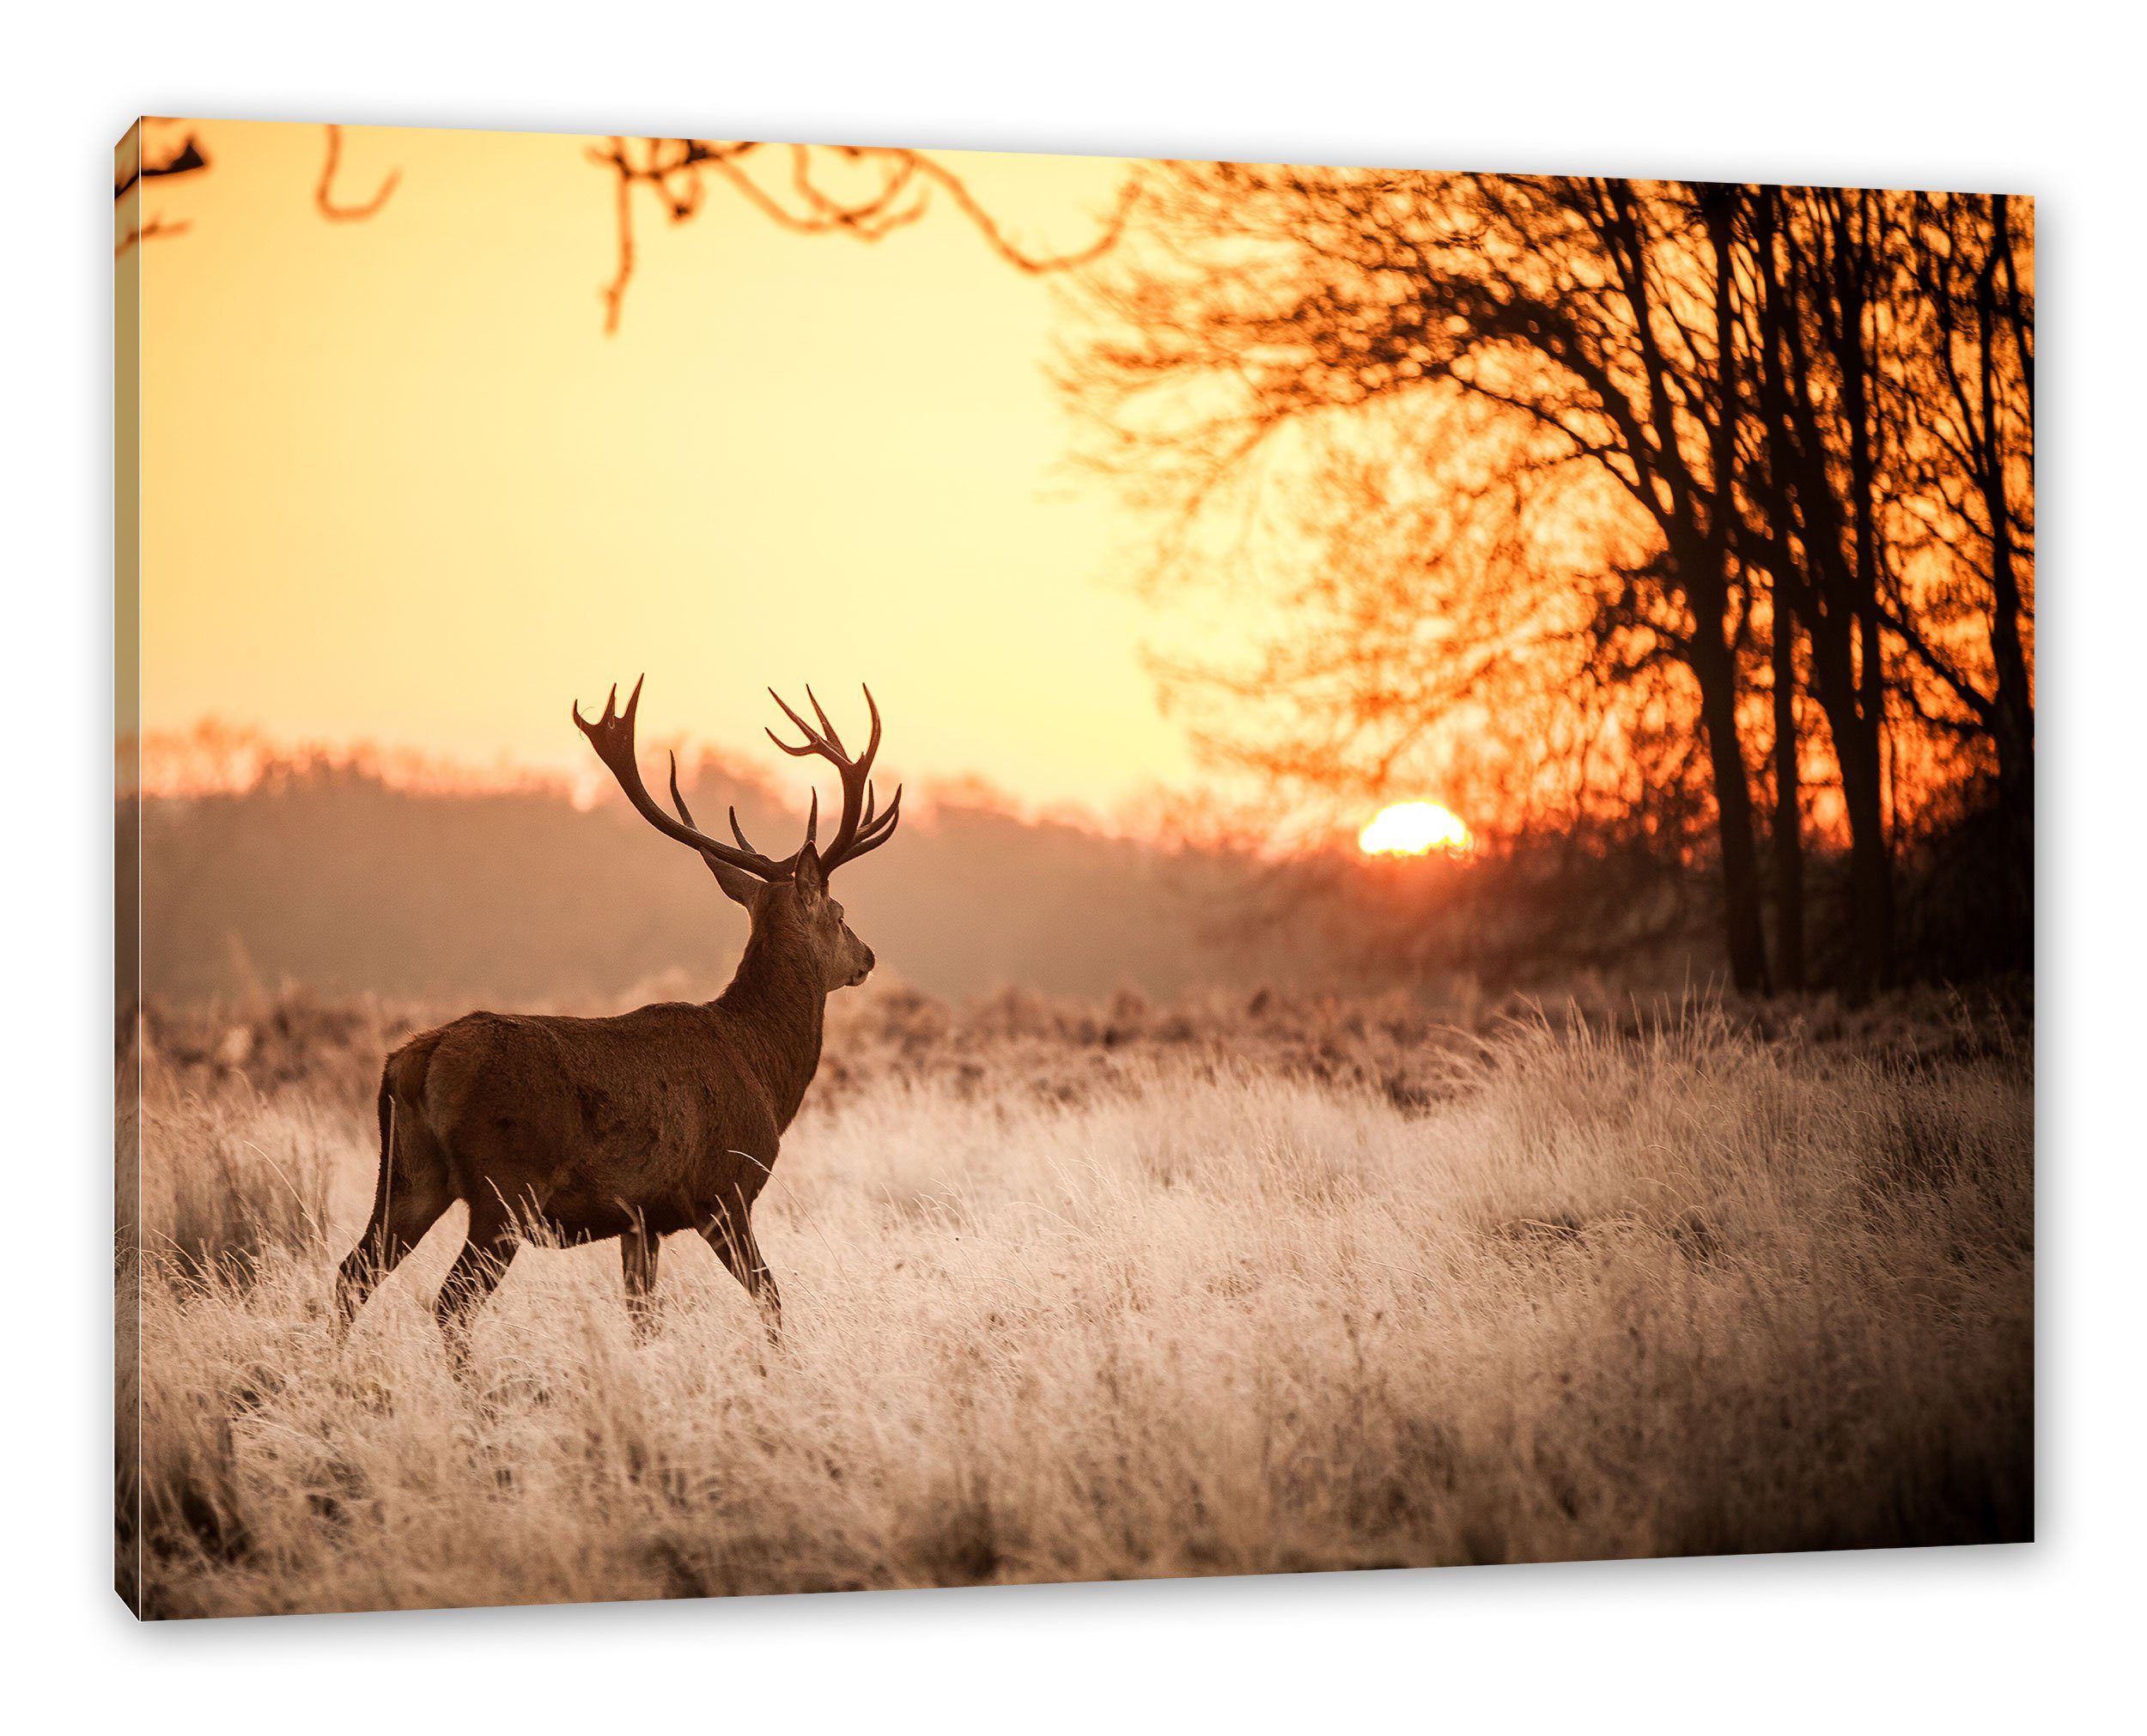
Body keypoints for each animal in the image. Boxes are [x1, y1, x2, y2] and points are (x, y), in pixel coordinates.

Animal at [333, 676, 901, 1355]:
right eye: (839, 913)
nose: (867, 956)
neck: (763, 1068)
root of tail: (416, 1063)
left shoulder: (641, 1219)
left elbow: (642, 1320)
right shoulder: (723, 1190)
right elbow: (771, 1300)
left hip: (408, 1177)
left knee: (351, 1274)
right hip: (506, 1188)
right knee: (449, 1302)